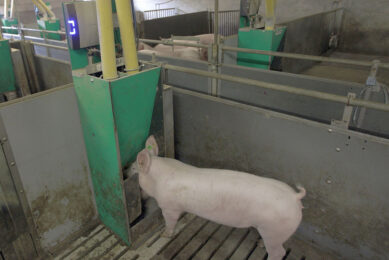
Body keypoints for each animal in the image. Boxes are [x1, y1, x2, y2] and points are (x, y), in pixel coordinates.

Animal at [129, 136, 304, 260]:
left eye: (133, 169)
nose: (125, 172)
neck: (158, 178)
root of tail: (294, 197)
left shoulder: (169, 206)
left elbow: (170, 222)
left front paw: (164, 235)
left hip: (274, 229)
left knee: (279, 253)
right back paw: (259, 243)